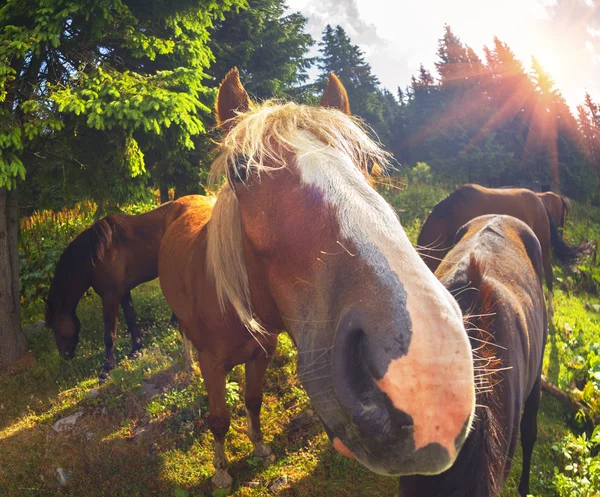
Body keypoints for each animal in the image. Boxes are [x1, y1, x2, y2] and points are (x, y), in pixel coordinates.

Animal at [44, 194, 204, 376]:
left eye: (54, 325)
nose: (65, 354)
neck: (97, 255)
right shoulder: (123, 292)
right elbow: (131, 319)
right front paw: (136, 349)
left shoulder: (110, 297)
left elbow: (109, 333)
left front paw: (107, 367)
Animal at [158, 70, 478, 488]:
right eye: (239, 170)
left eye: (368, 164)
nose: (430, 375)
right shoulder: (213, 365)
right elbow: (219, 420)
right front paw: (222, 473)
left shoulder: (262, 354)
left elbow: (253, 401)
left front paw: (259, 447)